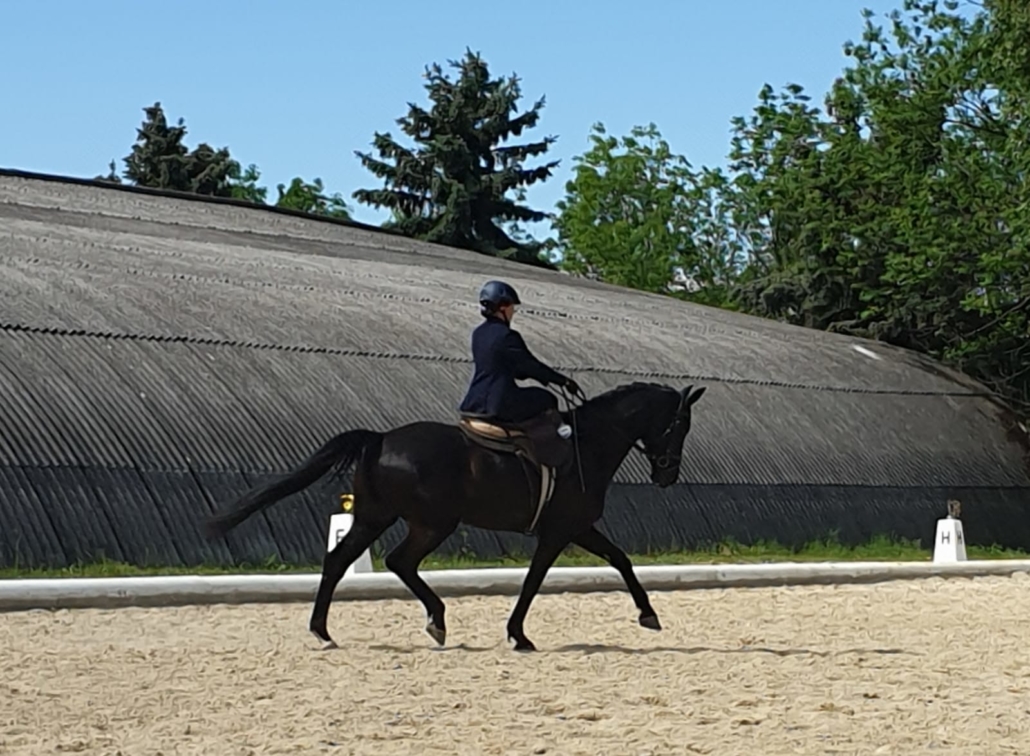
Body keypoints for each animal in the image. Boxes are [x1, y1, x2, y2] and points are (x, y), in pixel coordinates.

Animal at [207, 381, 708, 655]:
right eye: (679, 424)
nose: (667, 475)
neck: (589, 442)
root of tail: (381, 437)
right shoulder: (561, 530)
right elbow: (538, 580)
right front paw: (518, 635)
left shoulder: (577, 528)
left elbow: (619, 560)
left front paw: (648, 614)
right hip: (431, 523)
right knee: (397, 562)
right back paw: (435, 621)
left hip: (375, 517)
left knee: (342, 561)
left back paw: (325, 631)